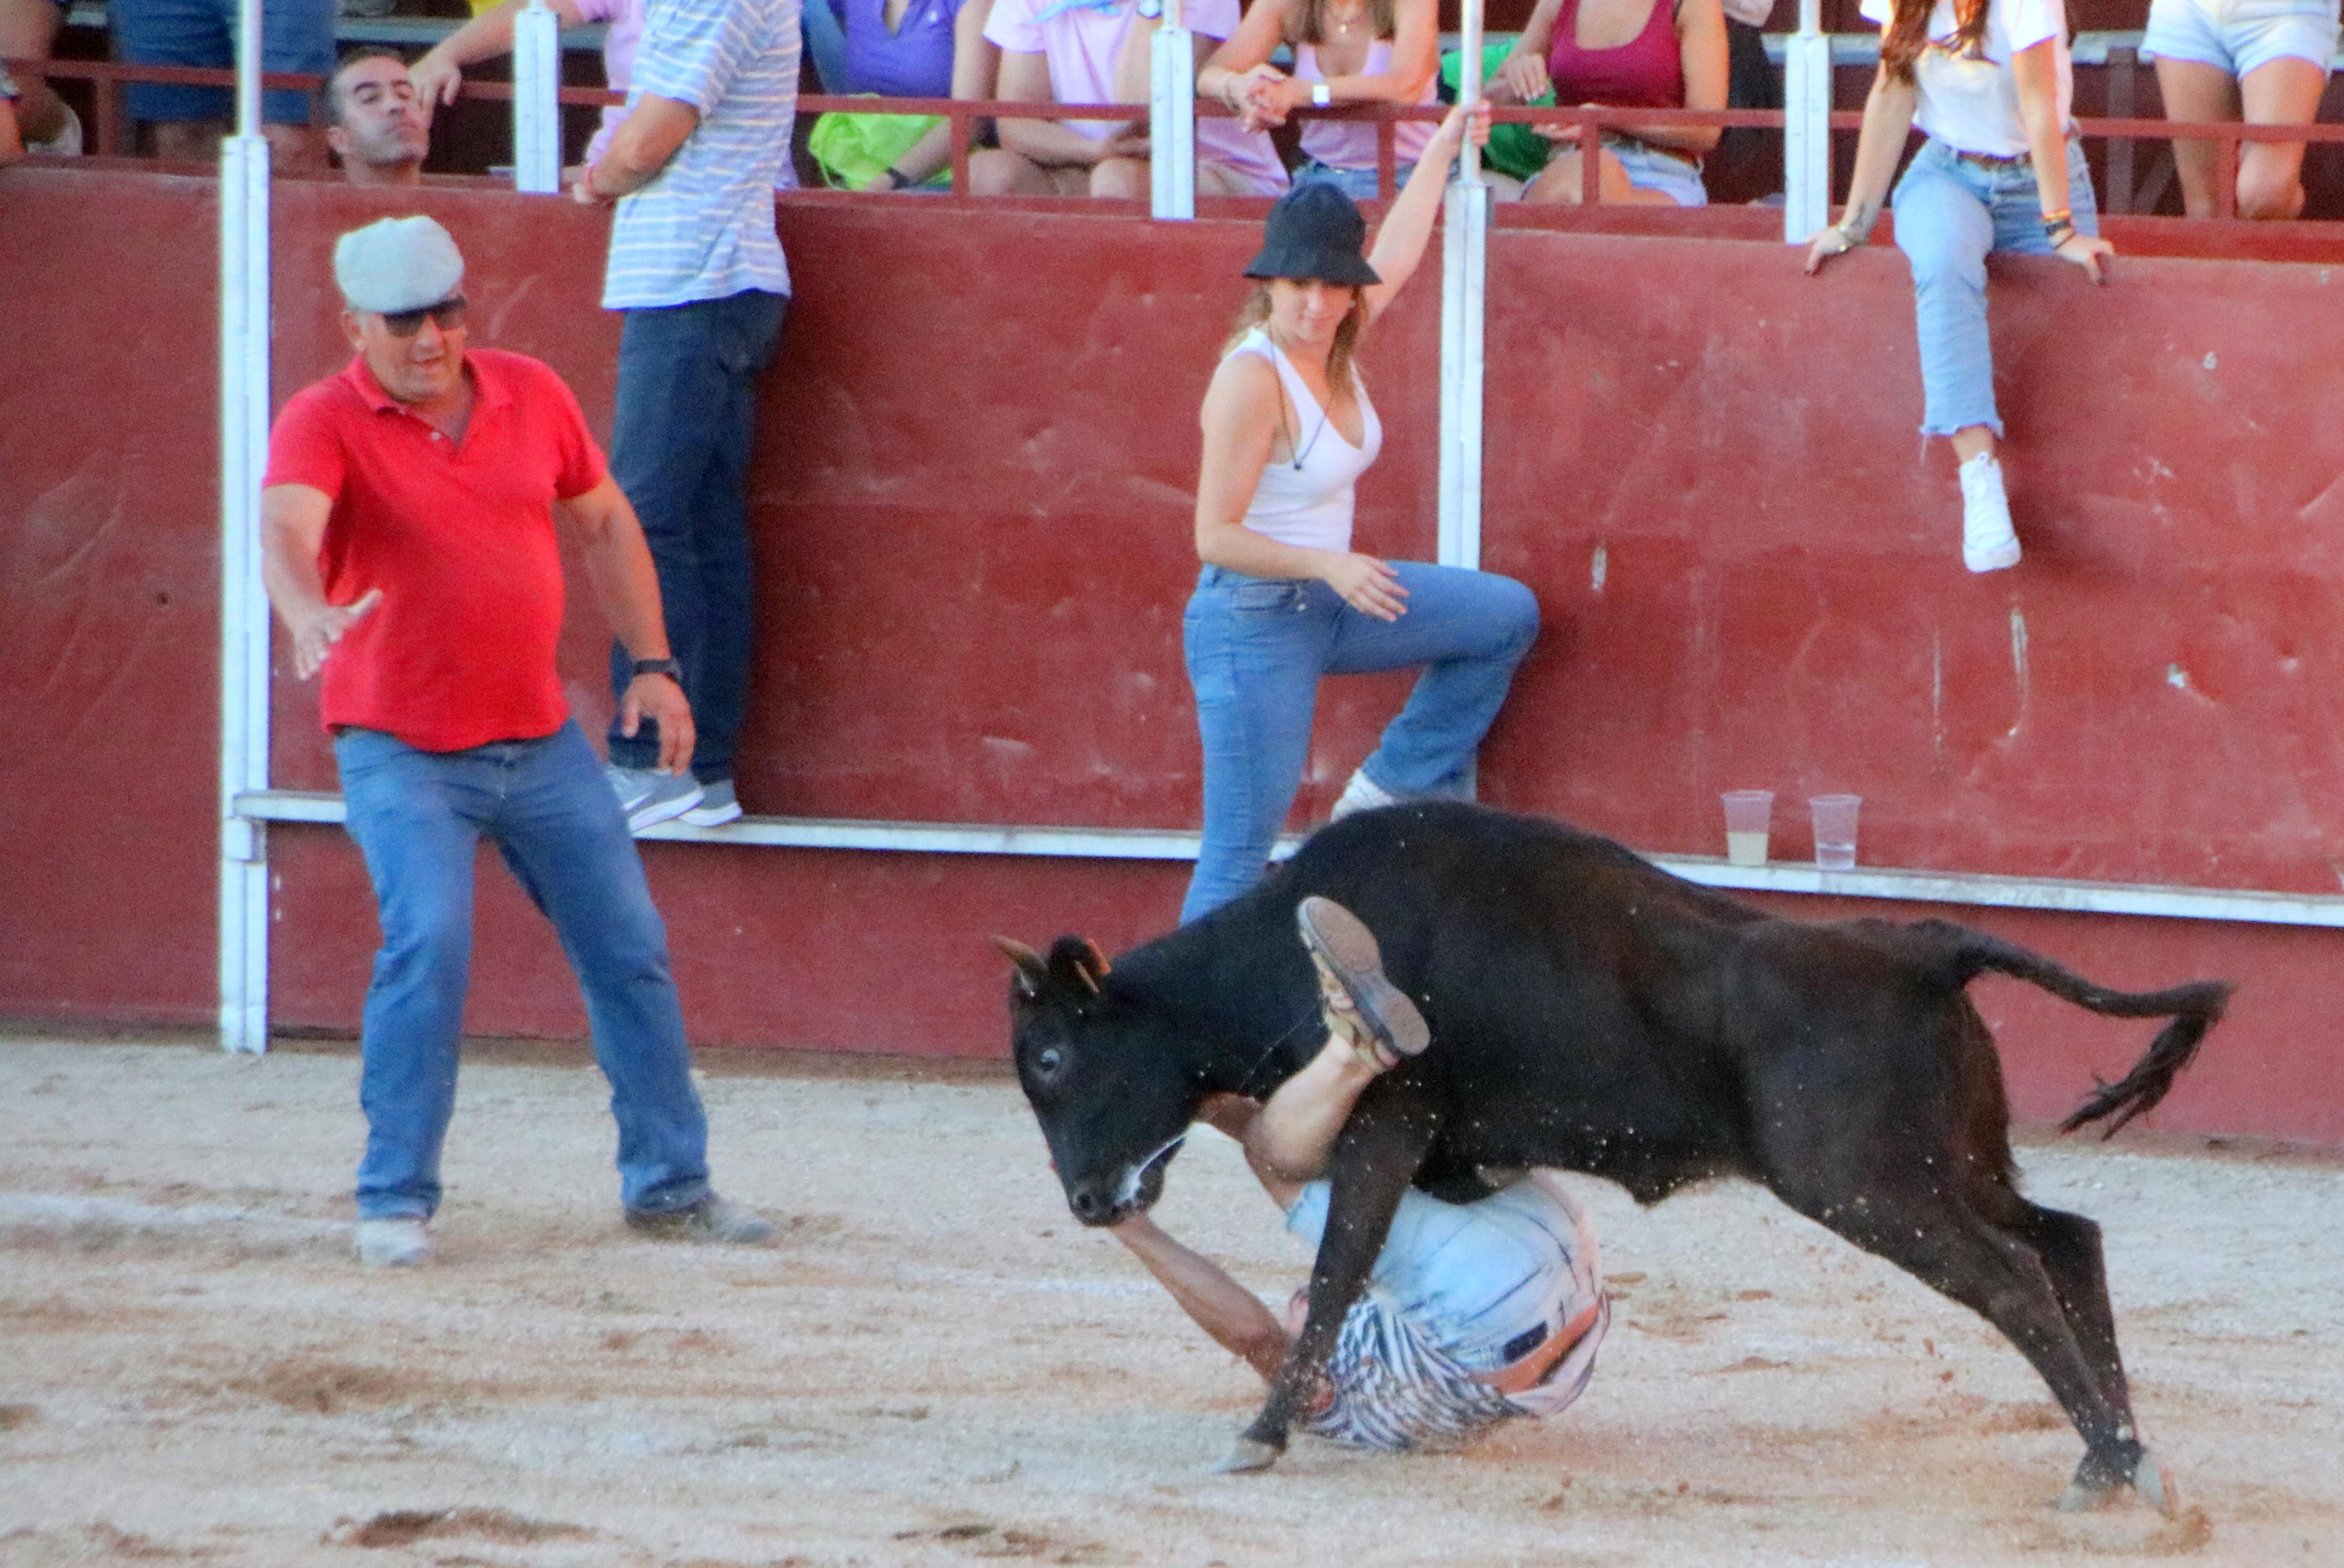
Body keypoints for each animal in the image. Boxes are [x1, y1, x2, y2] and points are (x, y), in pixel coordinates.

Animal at [998, 801, 2222, 1509]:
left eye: (1052, 1056)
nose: (1088, 1202)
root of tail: (1928, 944)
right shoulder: (1438, 1156)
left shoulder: (1385, 1124)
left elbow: (1341, 1263)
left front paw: (1261, 1434)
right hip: (1949, 1166)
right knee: (2066, 1241)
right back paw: (2116, 1454)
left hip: (1865, 1185)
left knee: (2013, 1280)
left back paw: (2113, 1464)